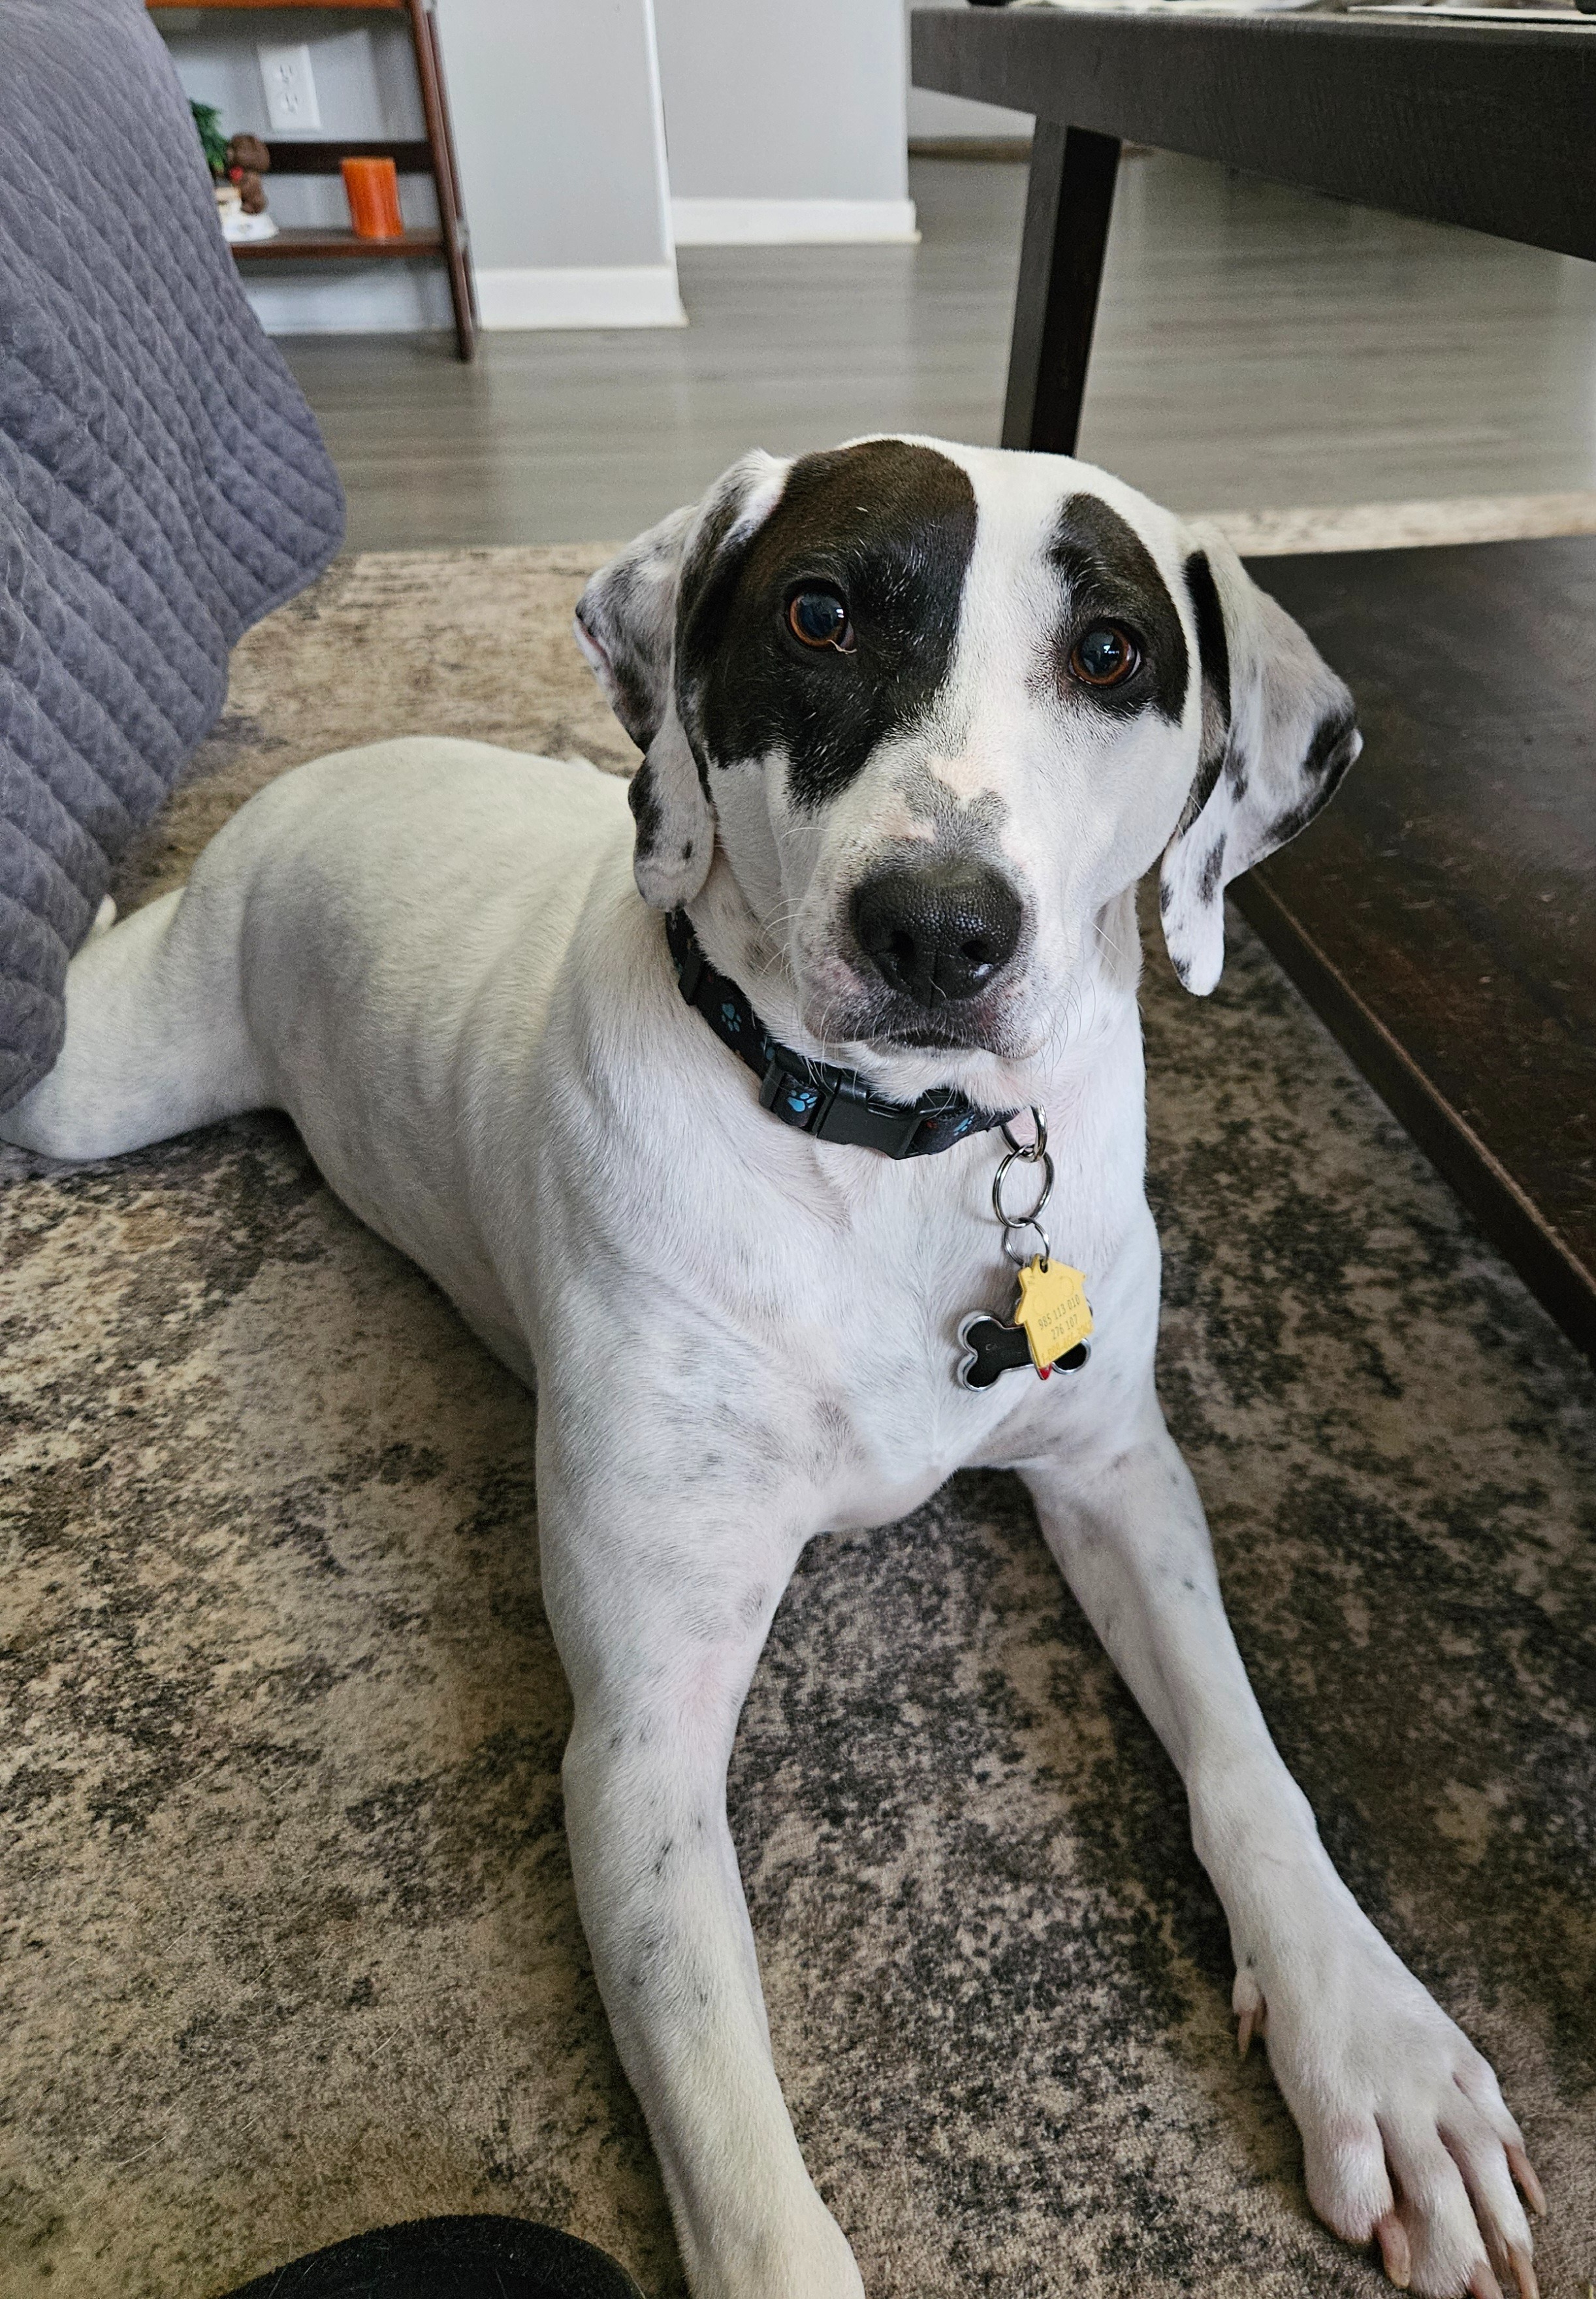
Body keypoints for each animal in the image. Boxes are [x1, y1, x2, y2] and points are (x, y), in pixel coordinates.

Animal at [2, 438, 1542, 2299]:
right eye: (819, 612)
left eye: (1111, 653)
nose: (938, 928)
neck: (884, 1154)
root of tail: (328, 769)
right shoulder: (640, 1735)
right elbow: (731, 2130)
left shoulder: (1119, 1473)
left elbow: (1251, 1766)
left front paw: (1381, 2051)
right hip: (101, 1082)